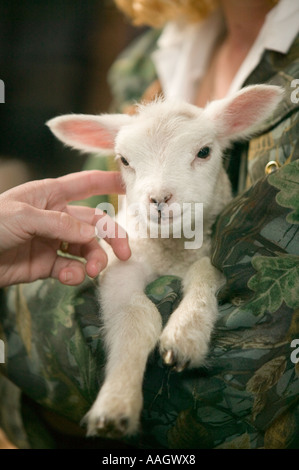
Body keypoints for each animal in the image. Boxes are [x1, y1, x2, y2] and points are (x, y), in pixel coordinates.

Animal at [47, 83, 284, 436]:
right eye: (124, 160)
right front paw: (116, 405)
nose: (159, 199)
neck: (170, 251)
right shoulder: (122, 262)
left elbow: (204, 277)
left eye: (204, 152)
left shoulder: (207, 254)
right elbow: (137, 317)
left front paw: (184, 338)